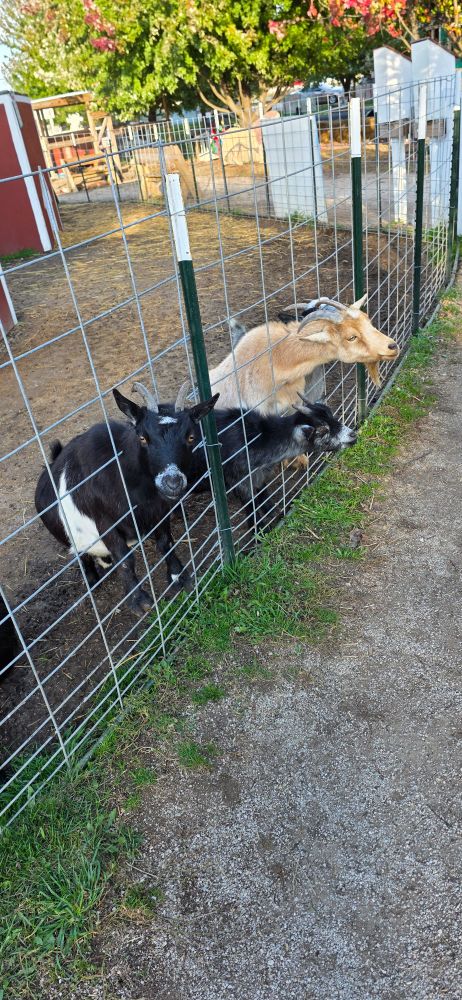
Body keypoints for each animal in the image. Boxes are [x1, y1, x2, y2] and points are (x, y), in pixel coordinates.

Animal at [35, 383, 218, 616]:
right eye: (143, 437)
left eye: (191, 437)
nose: (172, 482)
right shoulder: (105, 521)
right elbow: (125, 559)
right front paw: (139, 601)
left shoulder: (159, 511)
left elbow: (165, 542)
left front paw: (179, 577)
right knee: (82, 555)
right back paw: (93, 580)